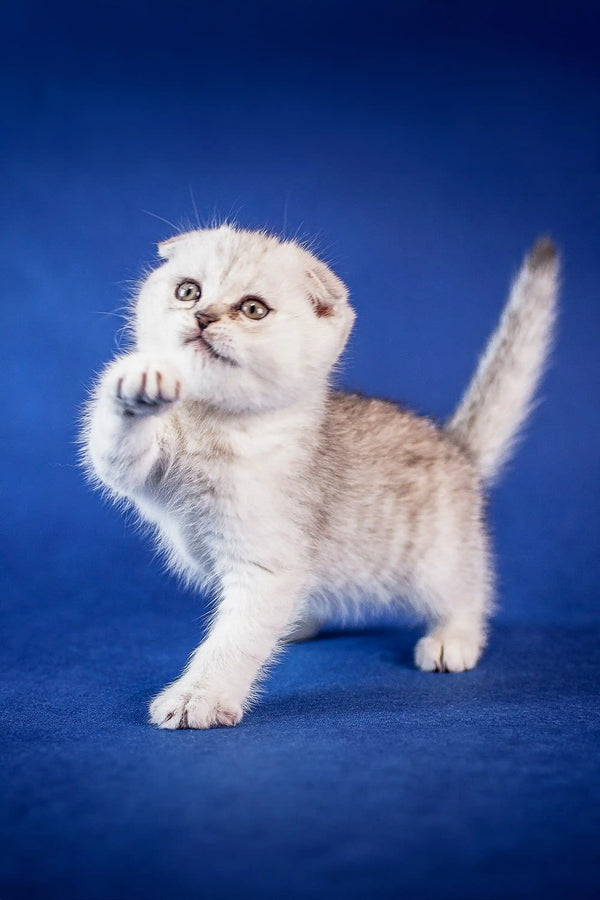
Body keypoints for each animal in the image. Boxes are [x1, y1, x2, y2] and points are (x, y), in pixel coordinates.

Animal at [82, 229, 560, 728]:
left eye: (253, 309)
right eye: (188, 290)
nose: (202, 316)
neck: (213, 424)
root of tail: (455, 446)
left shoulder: (266, 565)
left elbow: (232, 641)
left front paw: (199, 697)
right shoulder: (145, 470)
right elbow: (112, 453)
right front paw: (139, 383)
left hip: (437, 557)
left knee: (468, 589)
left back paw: (455, 637)